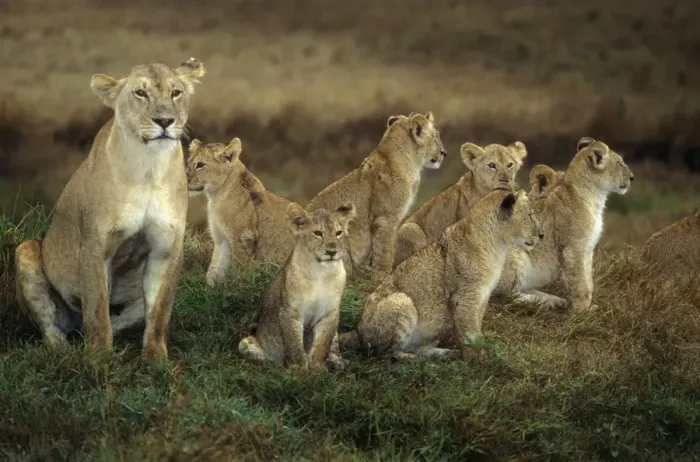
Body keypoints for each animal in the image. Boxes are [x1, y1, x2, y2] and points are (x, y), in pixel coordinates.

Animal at [13, 58, 206, 358]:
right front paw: (99, 359)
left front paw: (156, 359)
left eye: (176, 93)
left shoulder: (166, 248)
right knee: (52, 327)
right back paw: (63, 352)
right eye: (140, 93)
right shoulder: (96, 245)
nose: (165, 121)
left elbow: (159, 312)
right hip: (26, 252)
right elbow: (97, 309)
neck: (149, 167)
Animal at [186, 136, 300, 286]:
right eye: (188, 163)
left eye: (200, 165)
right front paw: (209, 288)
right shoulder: (221, 239)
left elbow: (239, 270)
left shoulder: (243, 237)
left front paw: (235, 286)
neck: (216, 196)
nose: (185, 179)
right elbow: (215, 268)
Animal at [238, 202, 356, 370]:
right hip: (246, 343)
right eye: (318, 233)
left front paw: (318, 369)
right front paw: (300, 371)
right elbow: (295, 347)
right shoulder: (290, 313)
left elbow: (321, 346)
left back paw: (338, 362)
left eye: (338, 233)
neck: (321, 273)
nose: (332, 251)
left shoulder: (330, 315)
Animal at [339, 189, 541, 360]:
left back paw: (444, 353)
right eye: (531, 216)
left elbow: (475, 326)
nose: (542, 235)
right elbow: (470, 330)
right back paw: (416, 360)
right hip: (401, 300)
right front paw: (479, 360)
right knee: (386, 354)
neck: (499, 247)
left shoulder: (482, 296)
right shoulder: (465, 297)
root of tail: (357, 330)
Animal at [493, 137, 634, 312]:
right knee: (508, 297)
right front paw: (582, 311)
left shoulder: (587, 249)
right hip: (516, 256)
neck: (596, 199)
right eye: (620, 163)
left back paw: (555, 300)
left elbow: (588, 281)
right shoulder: (573, 248)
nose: (632, 177)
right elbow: (580, 283)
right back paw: (544, 302)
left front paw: (588, 306)